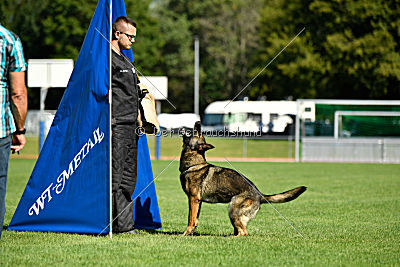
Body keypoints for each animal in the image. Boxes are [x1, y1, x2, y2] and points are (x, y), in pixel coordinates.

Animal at [178, 121, 306, 237]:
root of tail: (259, 194)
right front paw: (191, 233)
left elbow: (190, 219)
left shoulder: (193, 199)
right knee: (240, 230)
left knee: (243, 233)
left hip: (232, 209)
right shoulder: (198, 201)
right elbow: (195, 220)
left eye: (198, 132)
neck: (194, 164)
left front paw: (186, 233)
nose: (198, 122)